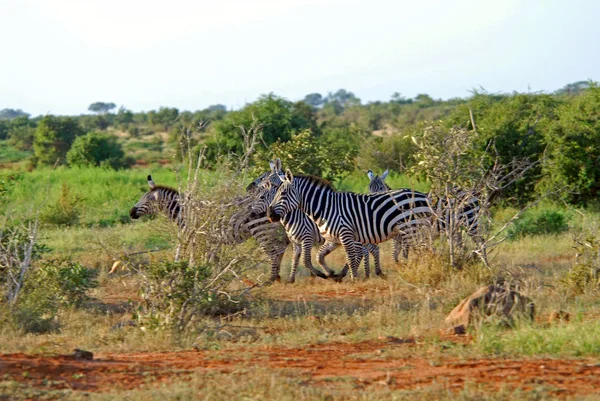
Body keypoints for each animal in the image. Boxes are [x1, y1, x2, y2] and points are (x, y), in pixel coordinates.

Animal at [270, 170, 434, 280]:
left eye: (283, 194)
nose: (270, 215)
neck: (326, 208)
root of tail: (423, 196)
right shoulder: (334, 239)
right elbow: (319, 256)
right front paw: (331, 274)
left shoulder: (344, 235)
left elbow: (350, 258)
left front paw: (353, 279)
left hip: (412, 228)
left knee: (423, 249)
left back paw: (423, 269)